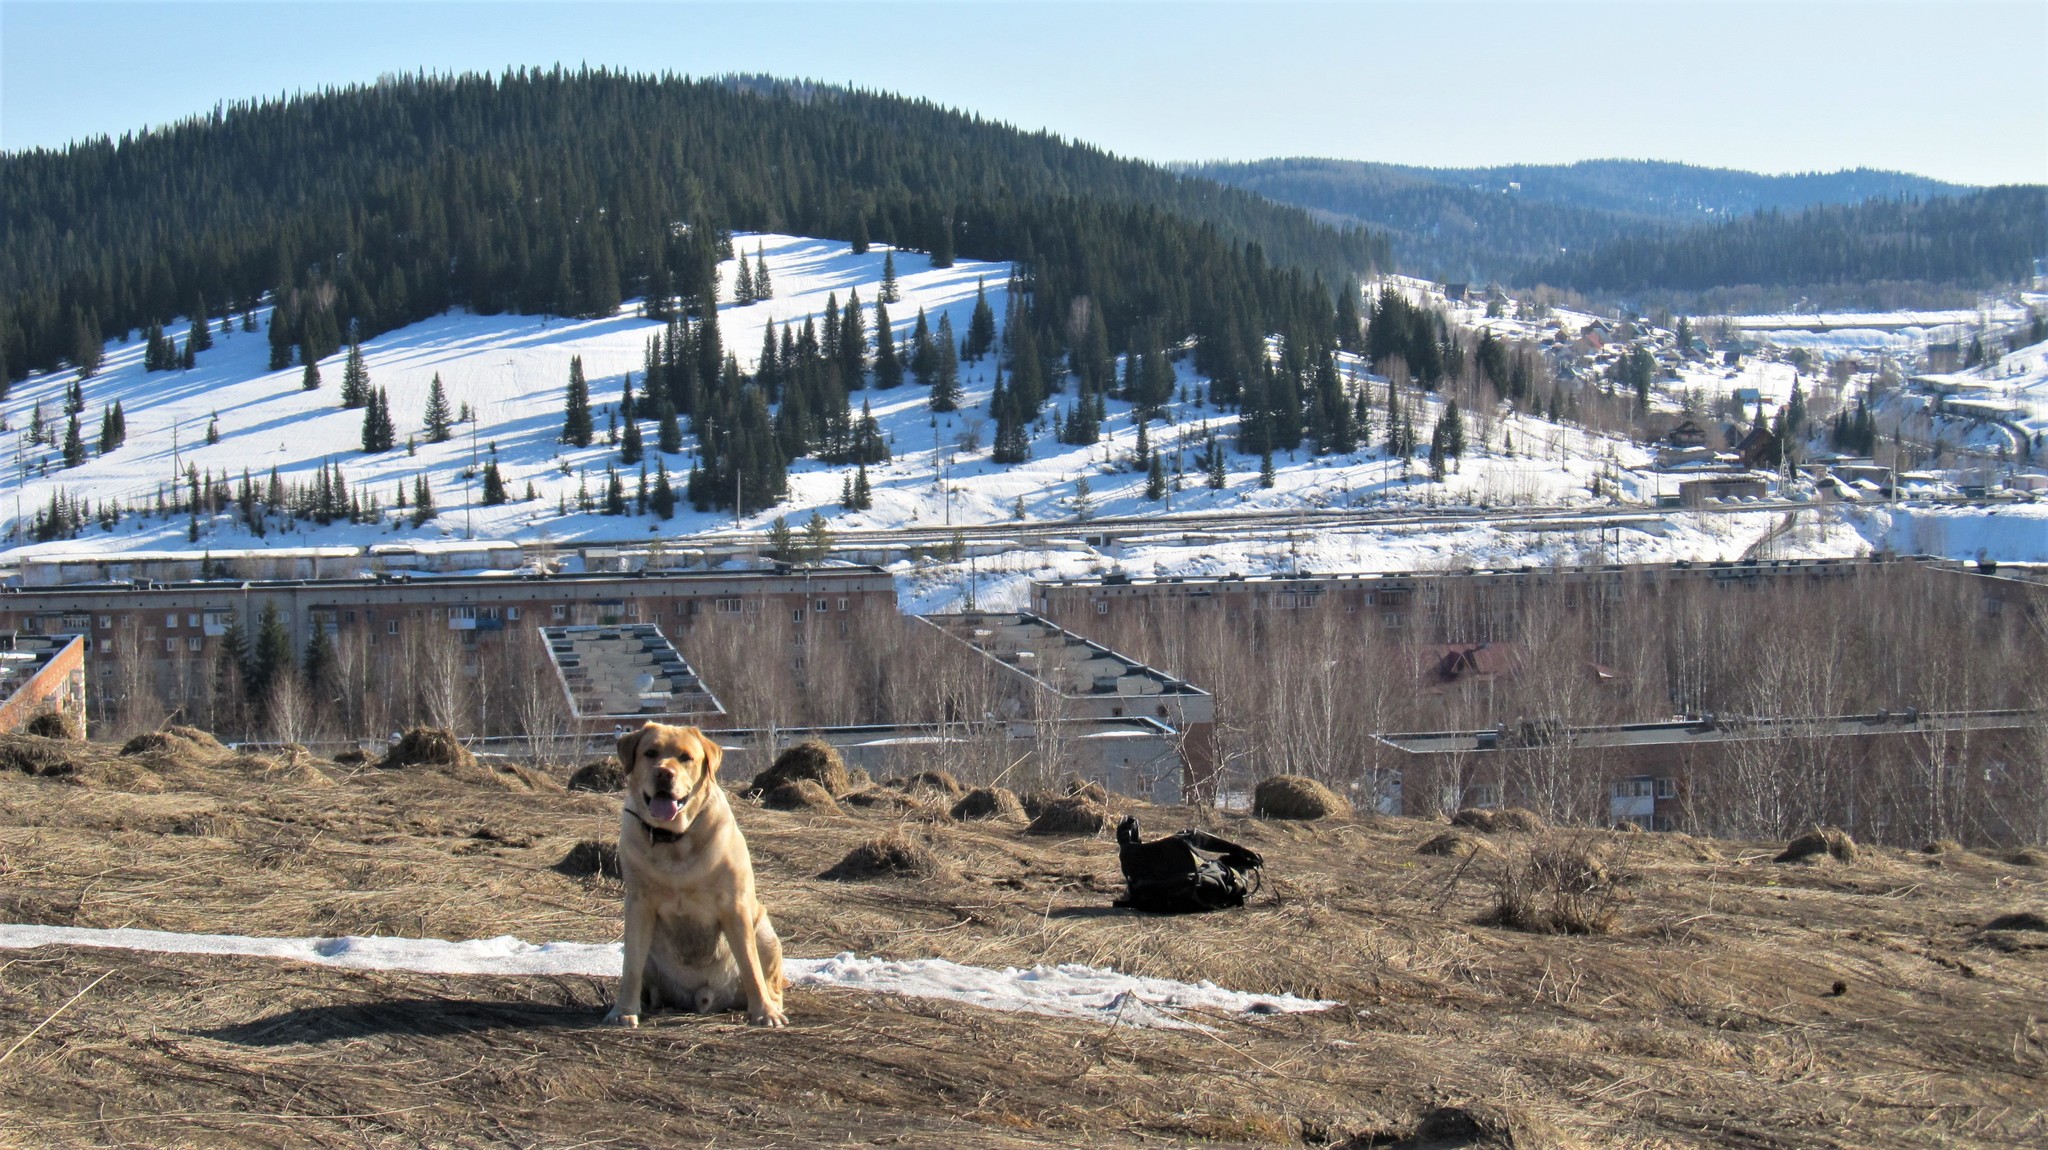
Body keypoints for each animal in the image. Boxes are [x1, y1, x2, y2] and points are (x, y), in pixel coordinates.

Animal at [602, 720, 786, 1023]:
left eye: (686, 757)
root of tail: (706, 998)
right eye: (650, 753)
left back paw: (772, 1003)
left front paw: (764, 1012)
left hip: (765, 933)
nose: (664, 773)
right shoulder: (638, 904)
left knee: (768, 976)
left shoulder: (734, 905)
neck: (674, 841)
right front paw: (623, 1011)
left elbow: (750, 965)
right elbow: (631, 967)